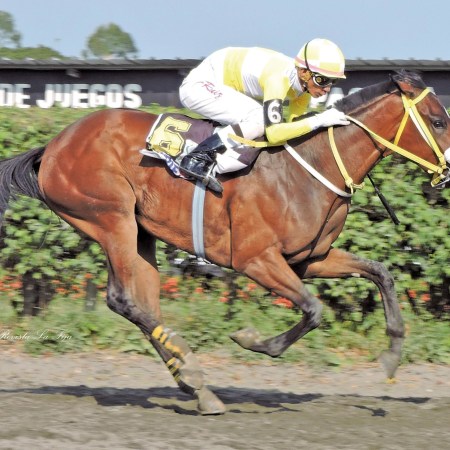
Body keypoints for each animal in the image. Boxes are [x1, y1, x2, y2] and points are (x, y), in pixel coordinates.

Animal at [0, 70, 449, 415]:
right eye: (439, 121)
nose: (447, 172)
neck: (311, 165)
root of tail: (54, 145)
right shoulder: (256, 260)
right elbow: (314, 310)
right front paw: (254, 340)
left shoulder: (310, 258)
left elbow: (381, 273)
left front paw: (391, 357)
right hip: (111, 219)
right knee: (123, 299)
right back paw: (194, 376)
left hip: (140, 232)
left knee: (143, 304)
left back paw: (195, 385)